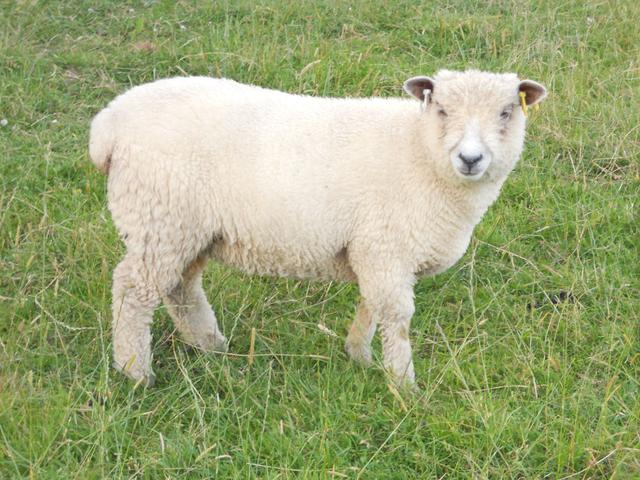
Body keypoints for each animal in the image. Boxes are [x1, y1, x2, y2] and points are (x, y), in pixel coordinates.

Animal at [89, 70, 547, 387]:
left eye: (507, 112)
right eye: (442, 110)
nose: (470, 159)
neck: (419, 151)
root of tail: (108, 124)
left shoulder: (372, 250)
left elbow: (370, 305)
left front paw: (359, 356)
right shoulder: (386, 247)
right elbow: (396, 317)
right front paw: (404, 385)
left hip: (187, 229)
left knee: (180, 287)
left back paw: (211, 346)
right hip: (160, 216)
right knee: (133, 290)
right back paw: (136, 372)